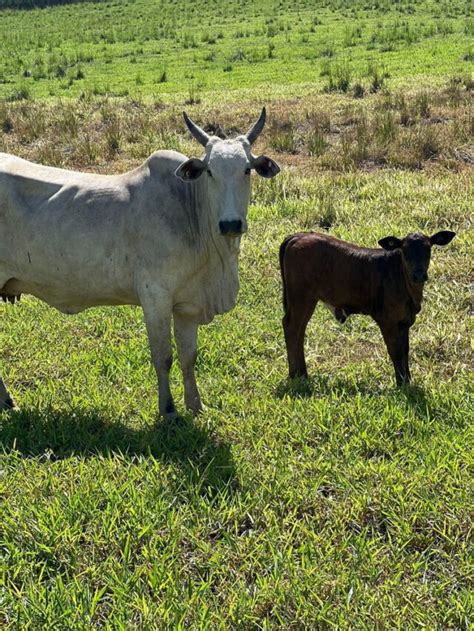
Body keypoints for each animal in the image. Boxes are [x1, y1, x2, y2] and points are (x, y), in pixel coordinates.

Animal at [0, 109, 280, 420]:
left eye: (247, 169)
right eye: (210, 171)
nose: (230, 224)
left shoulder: (187, 304)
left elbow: (188, 356)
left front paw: (196, 405)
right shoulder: (155, 297)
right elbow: (163, 357)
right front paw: (168, 410)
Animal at [282, 231, 456, 386]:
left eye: (428, 249)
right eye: (405, 251)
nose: (419, 275)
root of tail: (298, 236)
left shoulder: (405, 320)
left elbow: (405, 350)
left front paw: (407, 380)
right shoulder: (386, 320)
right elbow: (395, 351)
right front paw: (401, 383)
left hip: (305, 300)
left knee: (299, 330)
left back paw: (302, 374)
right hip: (301, 297)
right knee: (292, 328)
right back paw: (295, 375)